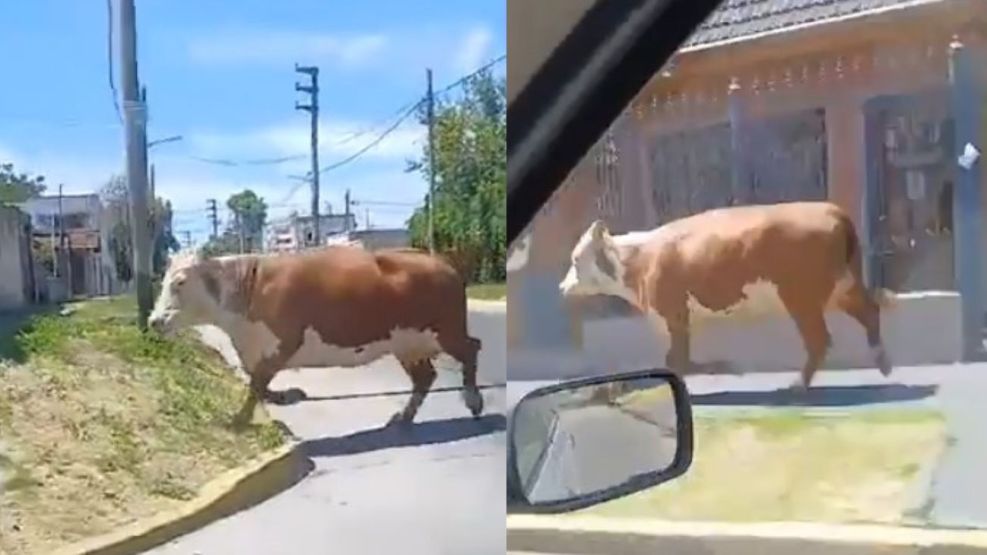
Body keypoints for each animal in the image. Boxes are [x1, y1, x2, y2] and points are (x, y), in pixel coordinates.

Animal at [149, 247, 484, 426]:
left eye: (179, 282)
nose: (153, 321)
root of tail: (440, 261)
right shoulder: (254, 349)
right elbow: (256, 382)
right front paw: (285, 396)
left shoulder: (284, 341)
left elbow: (258, 382)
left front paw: (239, 422)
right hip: (406, 342)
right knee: (425, 376)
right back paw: (404, 416)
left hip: (446, 329)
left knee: (472, 348)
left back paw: (473, 401)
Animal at [564, 202, 896, 388]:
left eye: (576, 259)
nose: (562, 287)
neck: (636, 259)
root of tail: (831, 210)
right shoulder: (679, 318)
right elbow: (680, 357)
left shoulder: (673, 312)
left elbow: (677, 359)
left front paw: (723, 367)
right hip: (840, 287)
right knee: (869, 311)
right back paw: (882, 361)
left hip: (801, 298)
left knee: (819, 339)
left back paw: (797, 386)